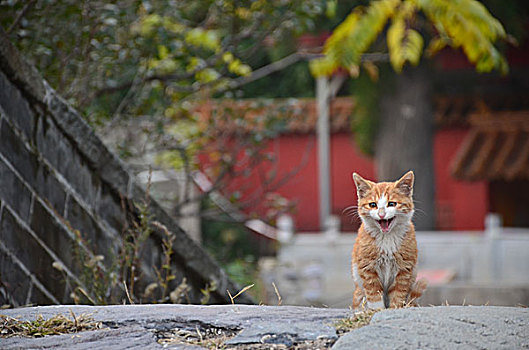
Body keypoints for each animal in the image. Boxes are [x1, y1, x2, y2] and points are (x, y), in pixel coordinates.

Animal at [350, 170, 424, 308]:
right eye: (372, 205)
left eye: (392, 204)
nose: (381, 214)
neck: (386, 237)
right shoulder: (367, 267)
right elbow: (373, 292)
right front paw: (377, 309)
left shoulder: (405, 268)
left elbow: (398, 293)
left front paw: (395, 308)